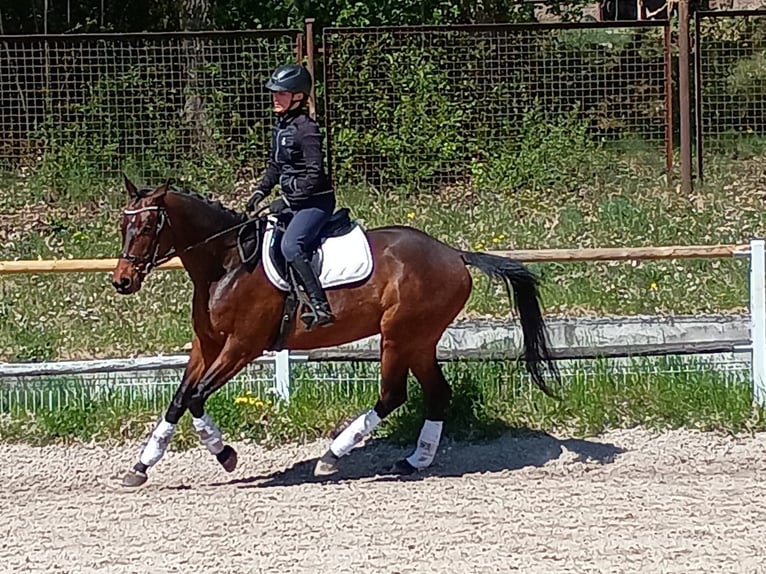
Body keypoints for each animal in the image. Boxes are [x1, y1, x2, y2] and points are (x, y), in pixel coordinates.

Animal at [111, 176, 559, 487]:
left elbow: (197, 398)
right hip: (420, 339)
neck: (227, 263)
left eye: (149, 226)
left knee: (392, 395)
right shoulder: (207, 345)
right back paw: (414, 461)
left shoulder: (241, 347)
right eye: (122, 225)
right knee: (437, 394)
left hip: (398, 336)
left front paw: (227, 456)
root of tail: (454, 254)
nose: (122, 281)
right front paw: (140, 466)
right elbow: (179, 399)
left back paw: (332, 456)